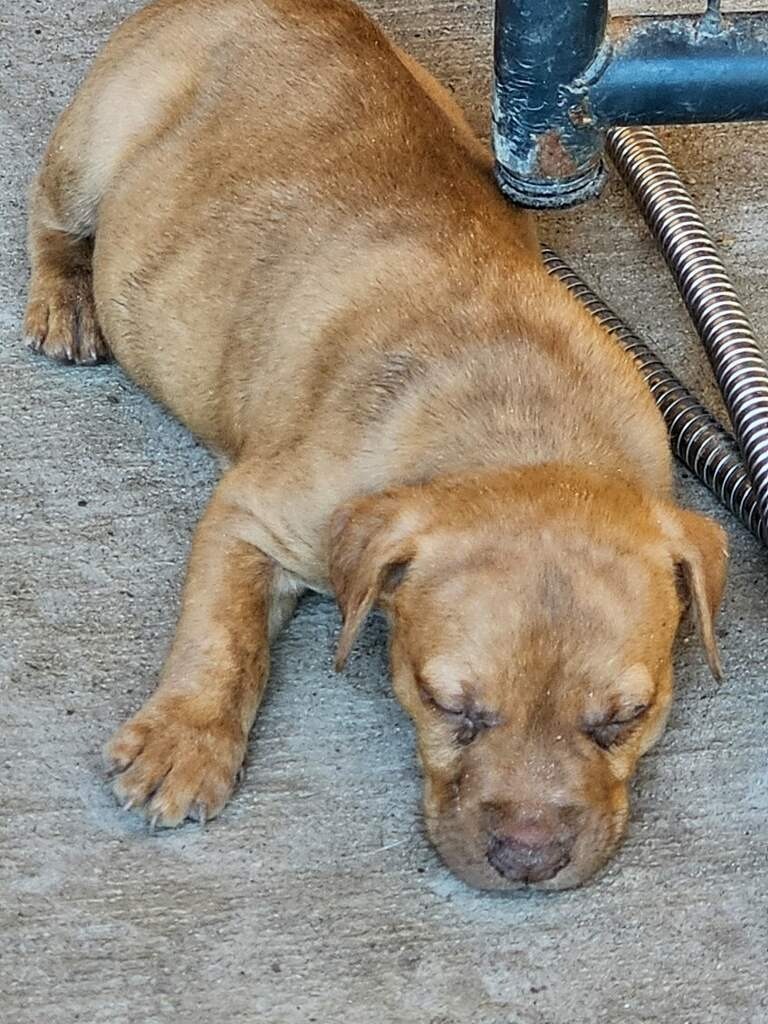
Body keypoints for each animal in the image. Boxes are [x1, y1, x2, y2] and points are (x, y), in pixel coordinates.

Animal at [24, 0, 729, 888]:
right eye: (446, 704)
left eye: (626, 717)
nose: (529, 860)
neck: (525, 436)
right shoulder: (253, 515)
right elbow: (224, 636)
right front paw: (186, 741)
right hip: (92, 145)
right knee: (51, 217)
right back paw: (65, 299)